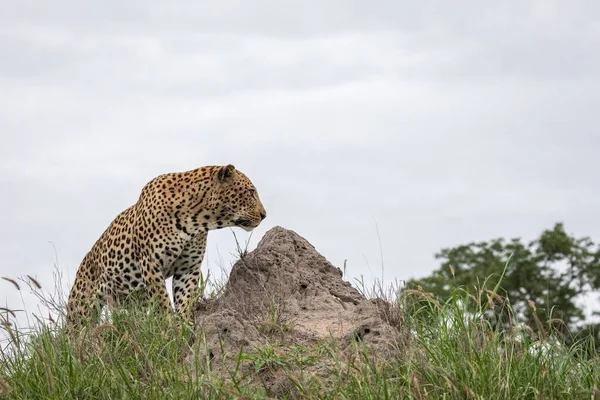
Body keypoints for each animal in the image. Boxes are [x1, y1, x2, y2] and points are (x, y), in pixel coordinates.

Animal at [63, 164, 268, 330]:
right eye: (251, 192)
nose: (264, 214)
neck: (197, 219)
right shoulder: (151, 264)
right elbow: (162, 300)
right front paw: (170, 326)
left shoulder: (188, 268)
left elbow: (185, 299)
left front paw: (186, 325)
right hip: (81, 307)